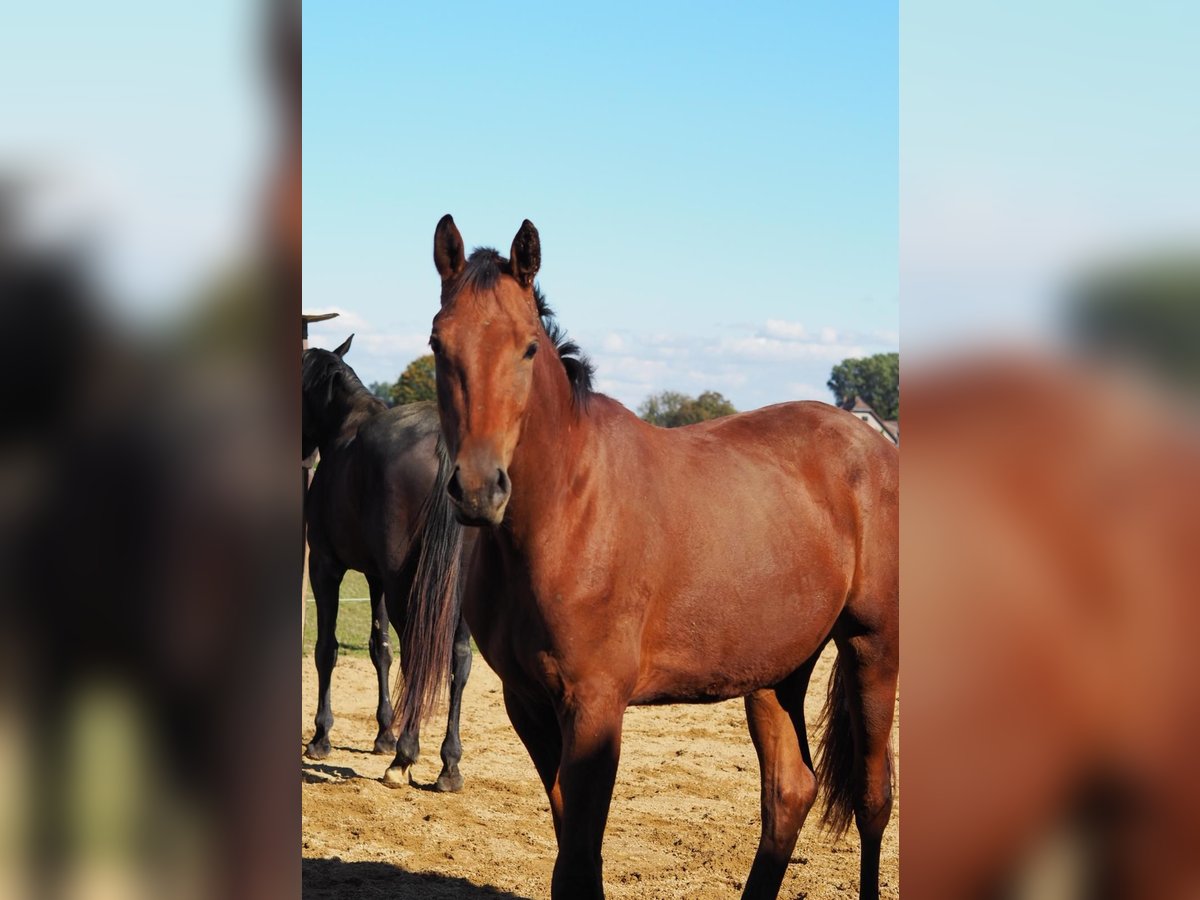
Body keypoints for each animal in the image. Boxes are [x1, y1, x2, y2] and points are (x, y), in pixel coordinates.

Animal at [300, 338, 472, 796]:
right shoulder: (375, 574)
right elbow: (381, 649)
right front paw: (384, 734)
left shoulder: (325, 565)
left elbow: (326, 649)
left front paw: (321, 737)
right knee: (459, 657)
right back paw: (448, 766)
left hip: (405, 586)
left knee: (419, 650)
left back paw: (405, 759)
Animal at [408, 218, 897, 900]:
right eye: (437, 342)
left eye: (528, 348)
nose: (479, 489)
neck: (567, 509)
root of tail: (875, 447)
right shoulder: (528, 703)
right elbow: (573, 855)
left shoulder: (595, 707)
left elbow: (578, 862)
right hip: (777, 669)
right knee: (790, 792)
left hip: (872, 646)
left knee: (874, 799)